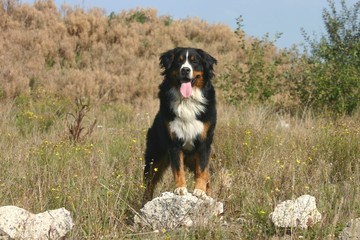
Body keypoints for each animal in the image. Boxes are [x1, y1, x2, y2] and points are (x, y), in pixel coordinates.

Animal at [143, 47, 217, 204]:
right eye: (179, 61)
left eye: (195, 61)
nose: (185, 70)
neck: (187, 101)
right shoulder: (174, 142)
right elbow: (178, 168)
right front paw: (180, 188)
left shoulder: (204, 143)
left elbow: (202, 170)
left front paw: (200, 191)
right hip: (154, 158)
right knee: (149, 184)